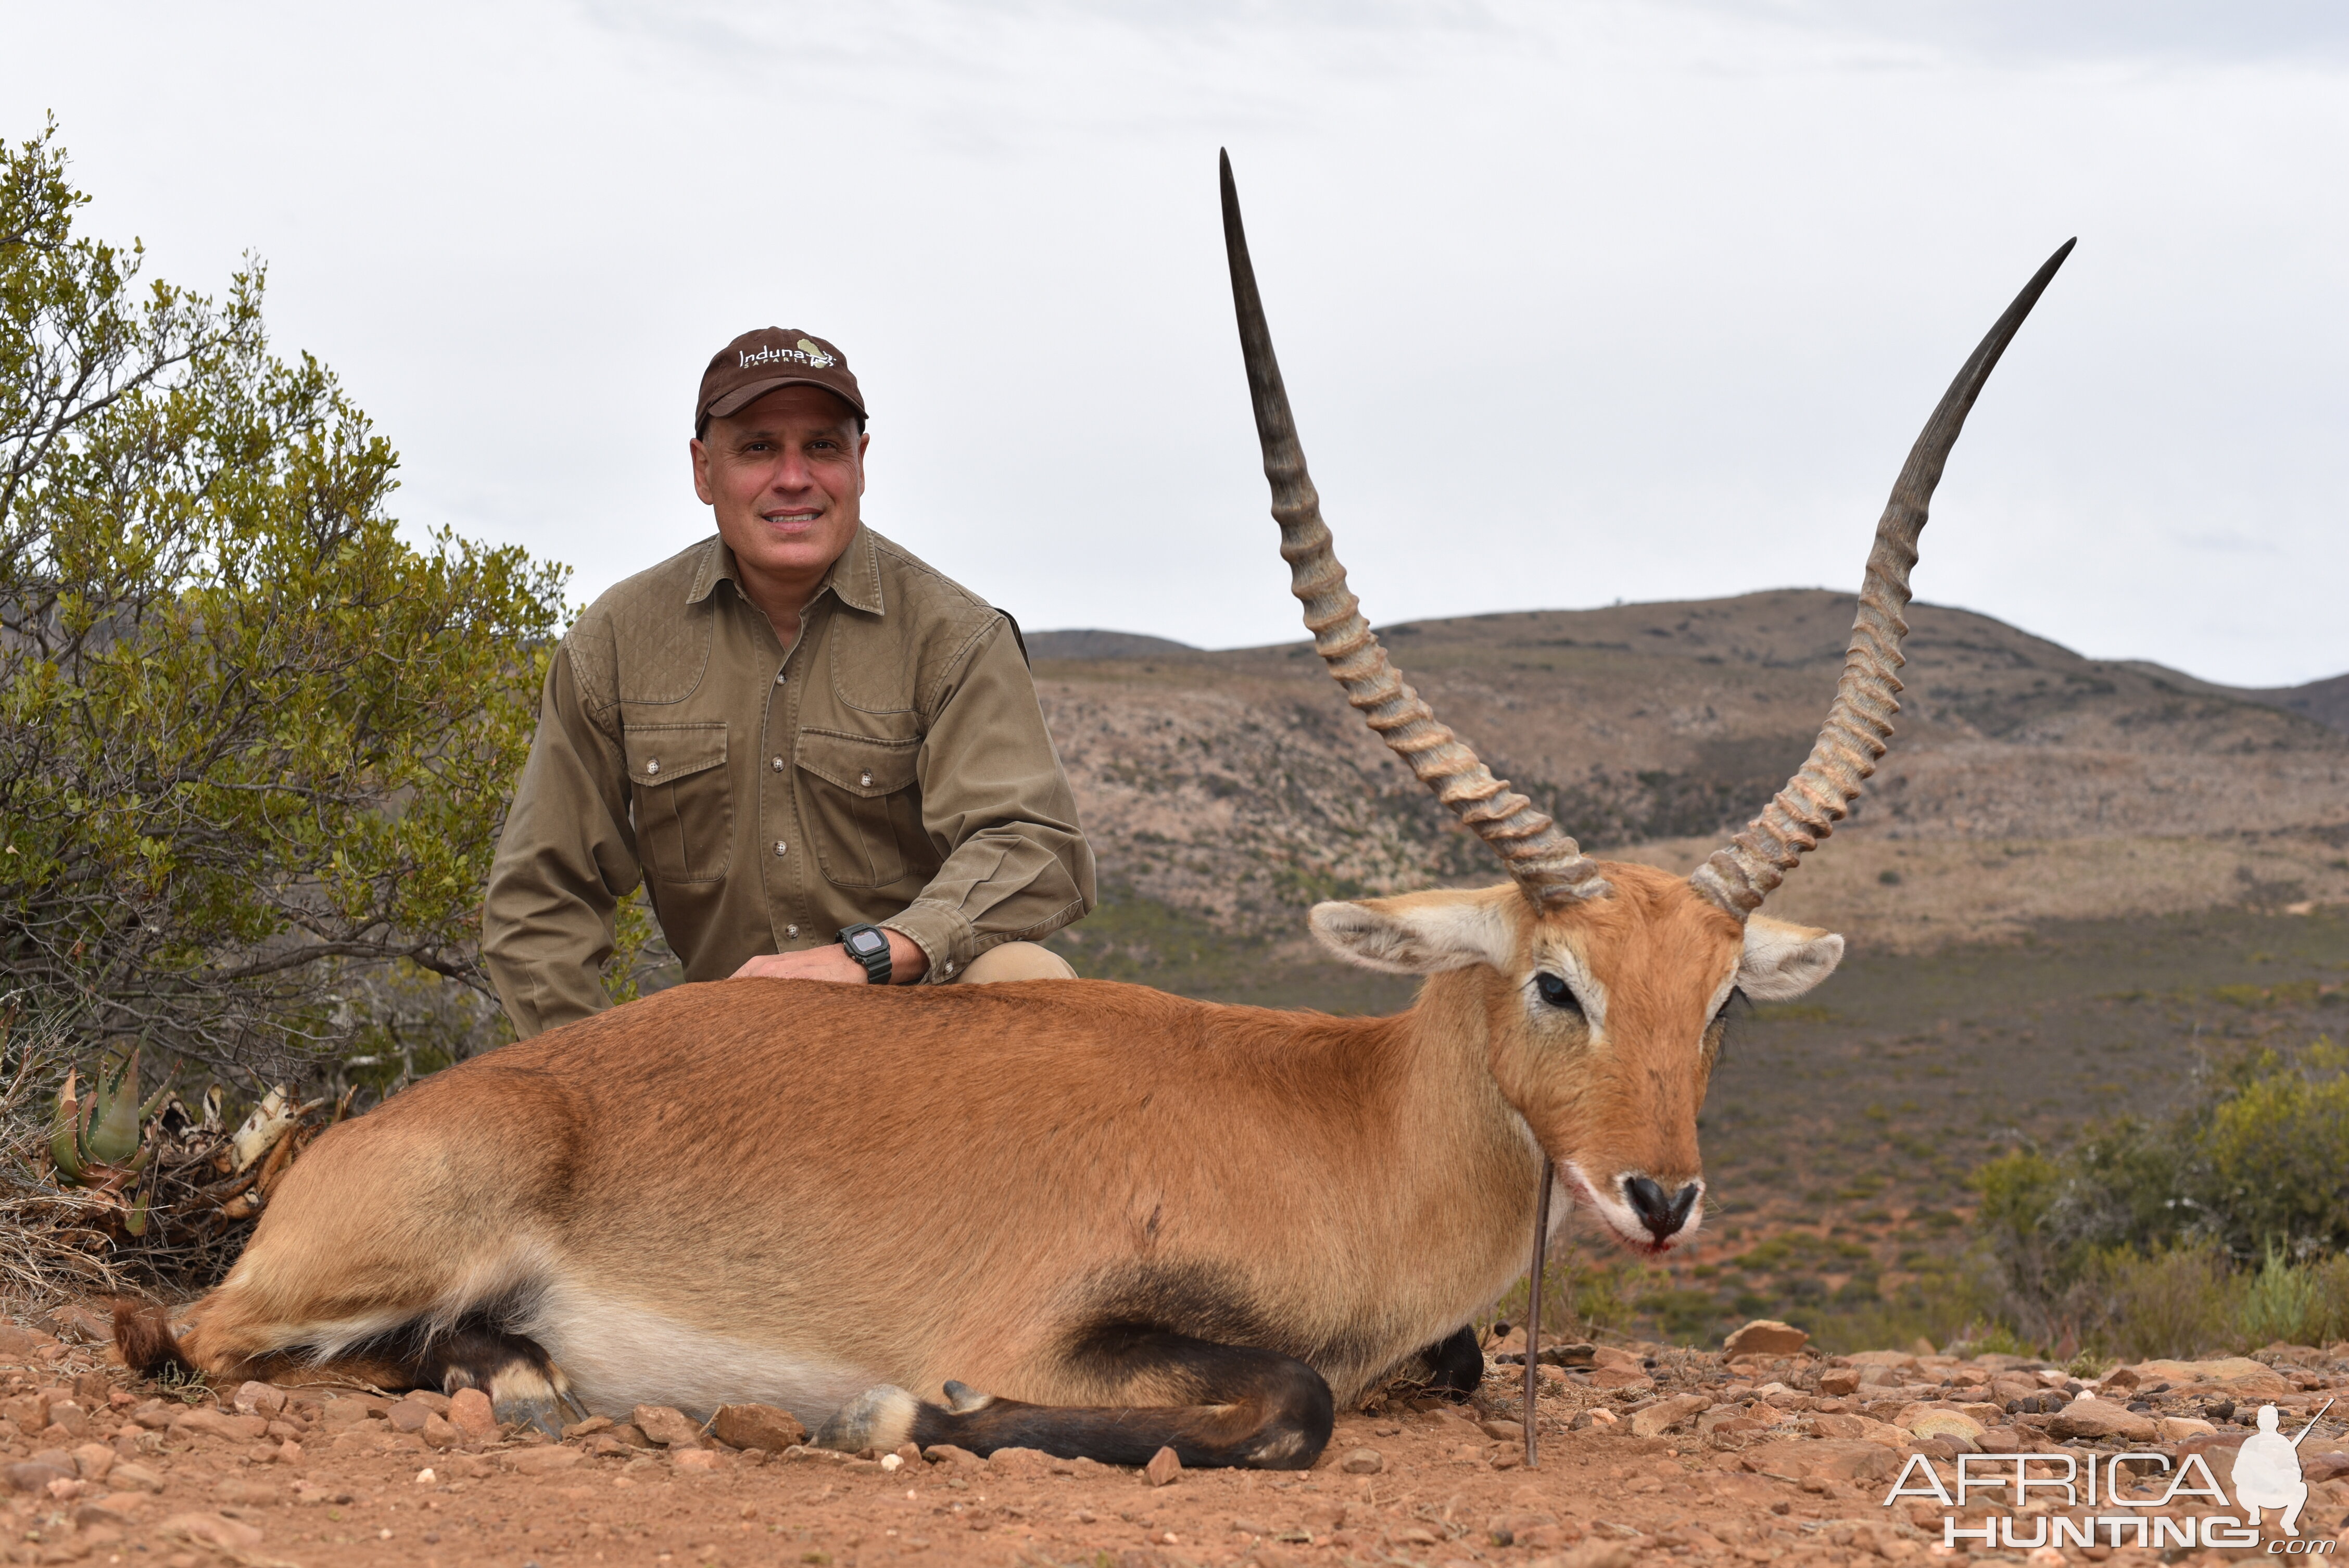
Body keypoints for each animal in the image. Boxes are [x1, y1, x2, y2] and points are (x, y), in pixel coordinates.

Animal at [124, 159, 2076, 1474]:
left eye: (1723, 997)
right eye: (1555, 980)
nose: (1659, 1195)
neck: (1343, 1119)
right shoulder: (1067, 1327)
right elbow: (1280, 1400)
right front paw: (901, 1414)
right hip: (328, 1273)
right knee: (185, 1336)